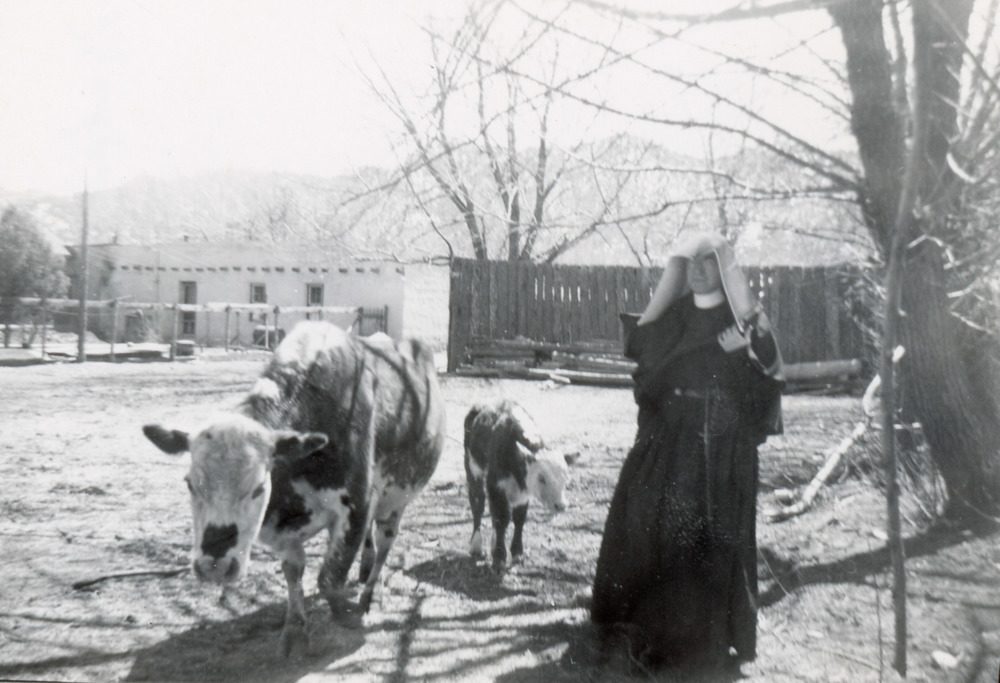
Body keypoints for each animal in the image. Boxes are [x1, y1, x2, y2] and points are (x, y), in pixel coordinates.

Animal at [462, 400, 580, 572]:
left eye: (566, 477)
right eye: (541, 478)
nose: (561, 505)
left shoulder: (523, 494)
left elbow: (519, 519)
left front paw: (517, 553)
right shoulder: (496, 485)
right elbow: (502, 519)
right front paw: (499, 558)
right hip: (473, 471)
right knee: (478, 504)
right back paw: (476, 545)